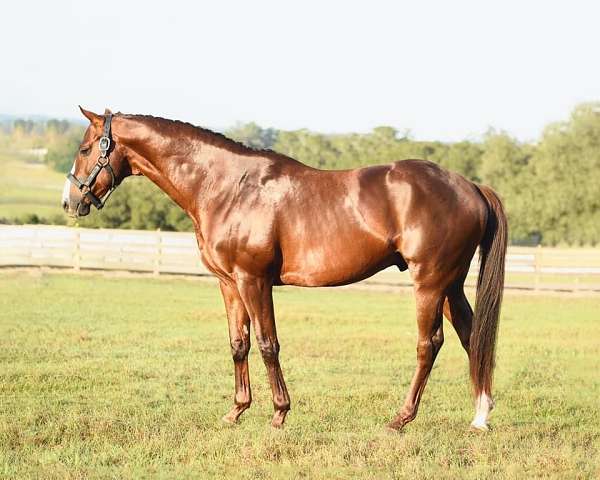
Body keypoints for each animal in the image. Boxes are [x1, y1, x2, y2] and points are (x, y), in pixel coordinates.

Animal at [62, 108, 506, 432]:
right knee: (472, 337)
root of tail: (470, 187)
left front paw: (278, 413)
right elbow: (238, 344)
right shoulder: (228, 284)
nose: (71, 201)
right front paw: (236, 410)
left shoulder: (254, 281)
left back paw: (401, 418)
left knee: (429, 344)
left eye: (85, 149)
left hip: (429, 282)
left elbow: (267, 344)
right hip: (450, 285)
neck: (227, 186)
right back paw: (480, 417)